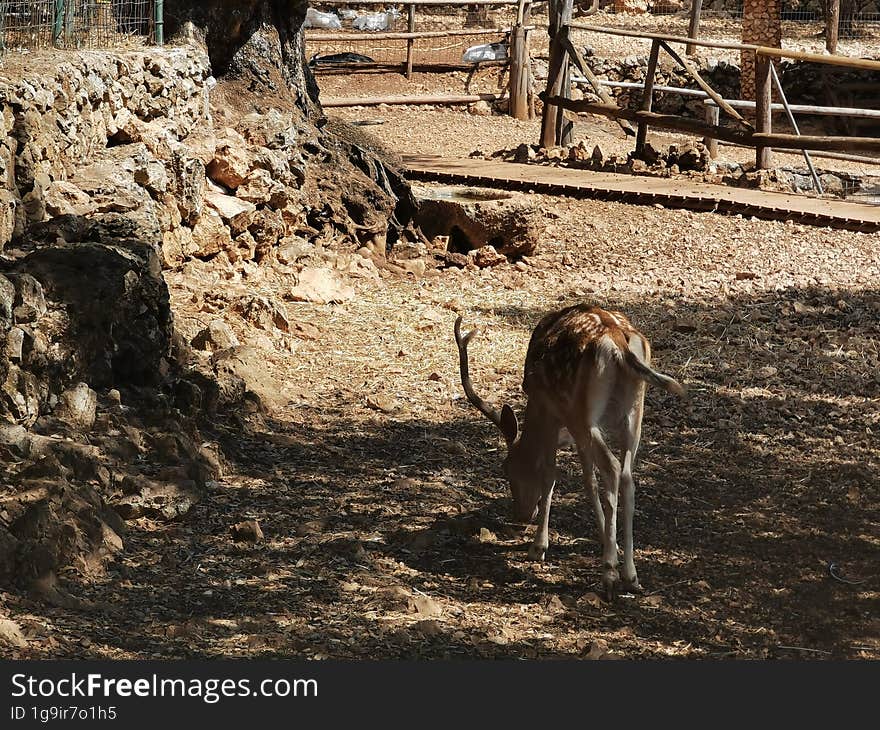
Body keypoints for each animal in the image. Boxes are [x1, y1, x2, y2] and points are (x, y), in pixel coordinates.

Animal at [454, 304, 688, 600]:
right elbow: (588, 480)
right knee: (627, 476)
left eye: (506, 468)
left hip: (582, 409)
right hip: (635, 410)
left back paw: (609, 574)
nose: (521, 515)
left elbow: (550, 474)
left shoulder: (550, 409)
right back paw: (631, 575)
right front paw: (607, 539)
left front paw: (538, 547)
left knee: (612, 468)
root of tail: (620, 342)